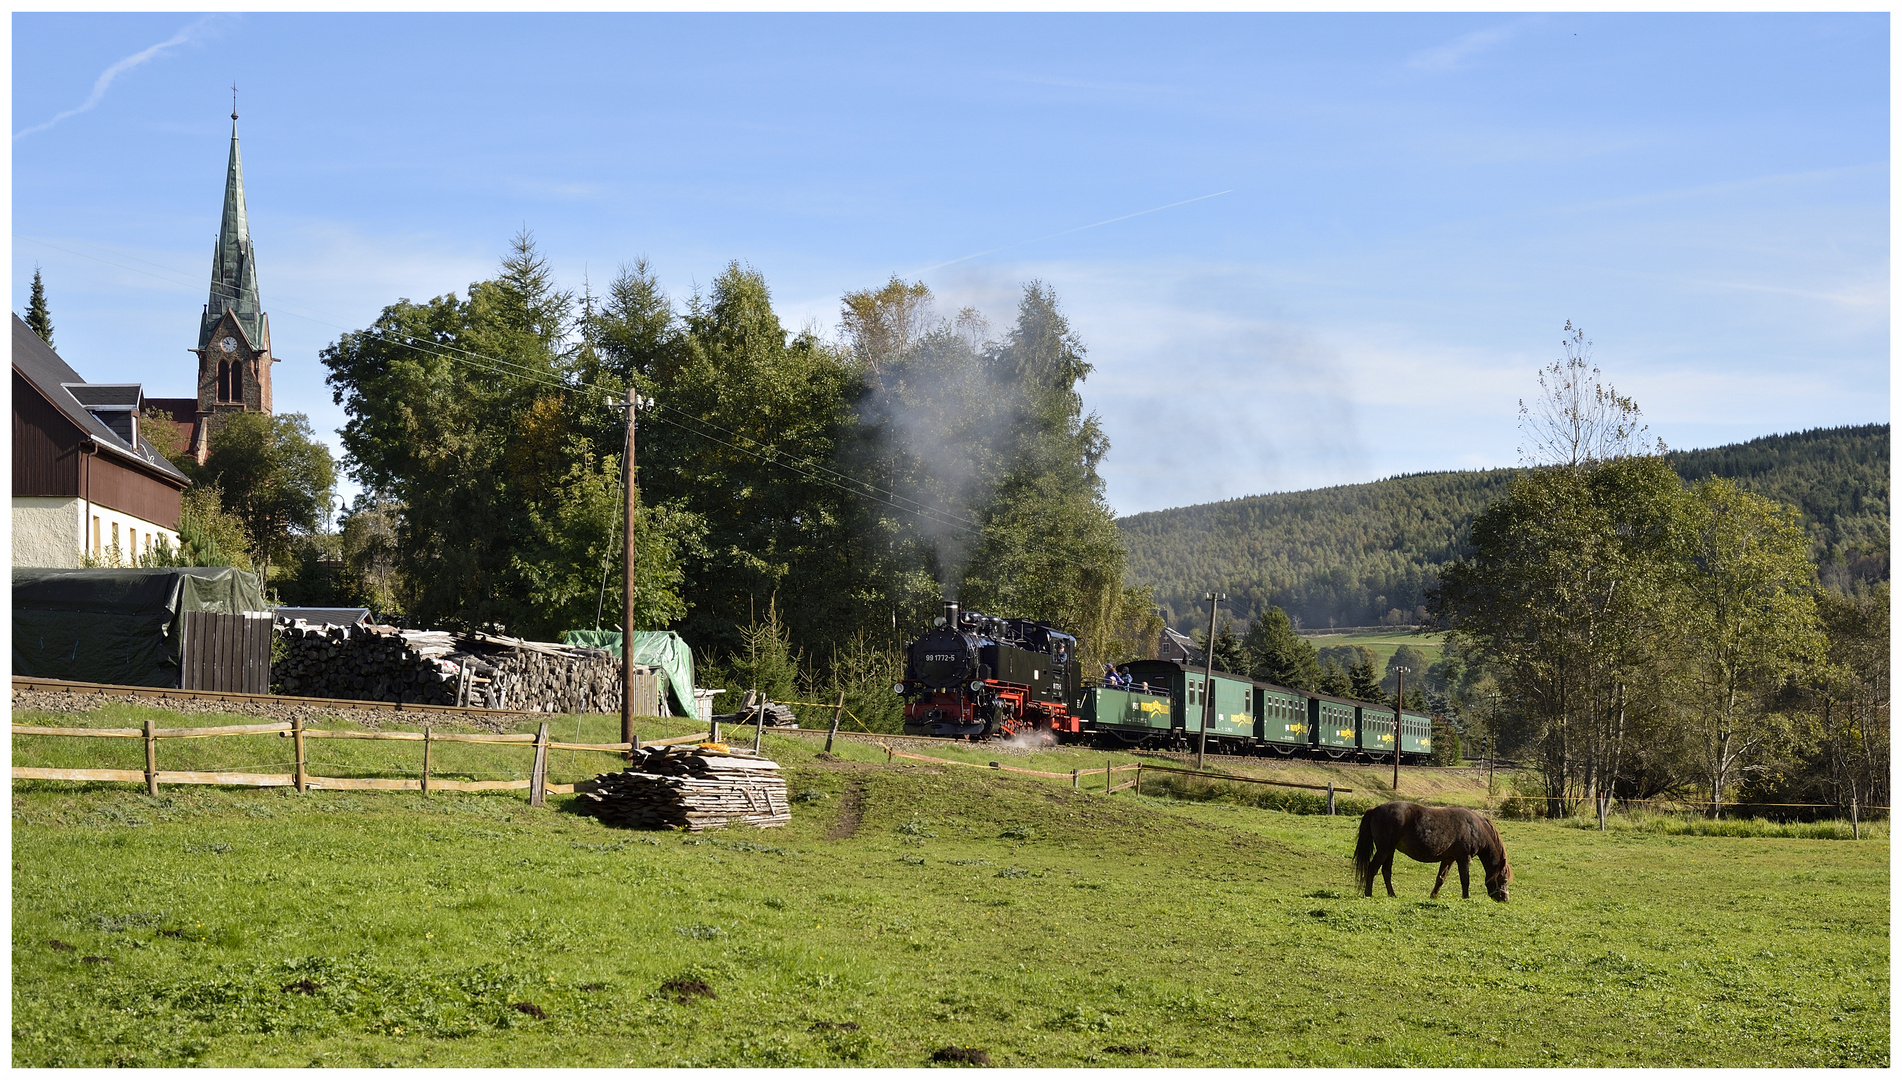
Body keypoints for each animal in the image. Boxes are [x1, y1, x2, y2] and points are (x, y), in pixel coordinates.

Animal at [1354, 802, 1513, 901]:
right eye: (1504, 880)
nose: (1505, 899)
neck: (1474, 827)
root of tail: (1375, 809)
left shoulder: (1449, 858)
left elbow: (1441, 878)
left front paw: (1433, 896)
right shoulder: (1464, 858)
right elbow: (1465, 879)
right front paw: (1466, 898)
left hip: (1389, 850)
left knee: (1386, 871)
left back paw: (1392, 894)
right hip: (1384, 850)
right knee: (1372, 868)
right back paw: (1368, 893)